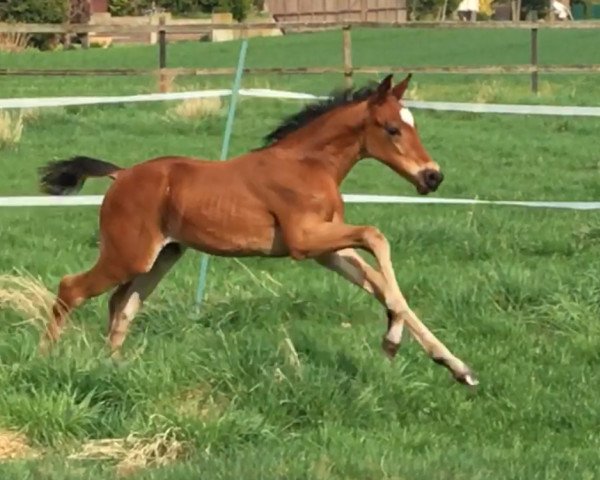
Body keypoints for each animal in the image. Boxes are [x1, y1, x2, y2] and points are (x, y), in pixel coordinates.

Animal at [38, 76, 478, 390]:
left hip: (161, 256)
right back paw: (47, 358)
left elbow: (378, 282)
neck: (307, 165)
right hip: (127, 254)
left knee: (122, 304)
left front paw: (457, 367)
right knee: (71, 288)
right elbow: (377, 238)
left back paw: (111, 366)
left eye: (411, 126)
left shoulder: (328, 249)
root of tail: (122, 174)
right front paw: (392, 343)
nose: (433, 176)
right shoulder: (305, 241)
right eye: (391, 129)